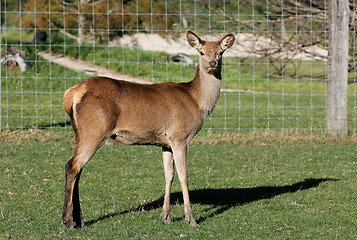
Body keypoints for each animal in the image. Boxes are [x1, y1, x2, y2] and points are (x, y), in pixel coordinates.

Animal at [61, 30, 234, 229]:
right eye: (202, 52)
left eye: (220, 52)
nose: (212, 63)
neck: (198, 102)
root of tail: (71, 94)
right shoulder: (179, 137)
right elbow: (184, 175)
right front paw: (190, 219)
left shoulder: (166, 142)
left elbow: (169, 175)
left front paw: (166, 216)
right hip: (94, 130)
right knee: (72, 166)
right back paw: (68, 221)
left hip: (79, 132)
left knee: (78, 168)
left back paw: (79, 219)